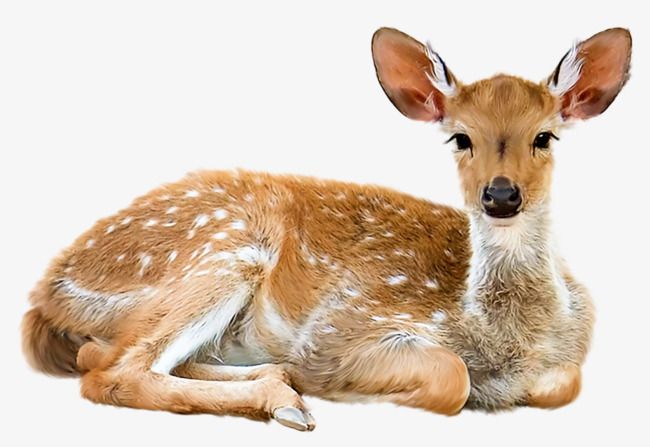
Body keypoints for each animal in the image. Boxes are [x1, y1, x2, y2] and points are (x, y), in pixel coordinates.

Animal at [20, 27, 628, 430]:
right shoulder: (344, 324)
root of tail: (45, 293)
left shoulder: (566, 360)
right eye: (460, 137)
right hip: (222, 253)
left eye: (545, 136)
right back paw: (288, 403)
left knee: (105, 358)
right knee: (112, 372)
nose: (501, 195)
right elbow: (450, 379)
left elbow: (563, 384)